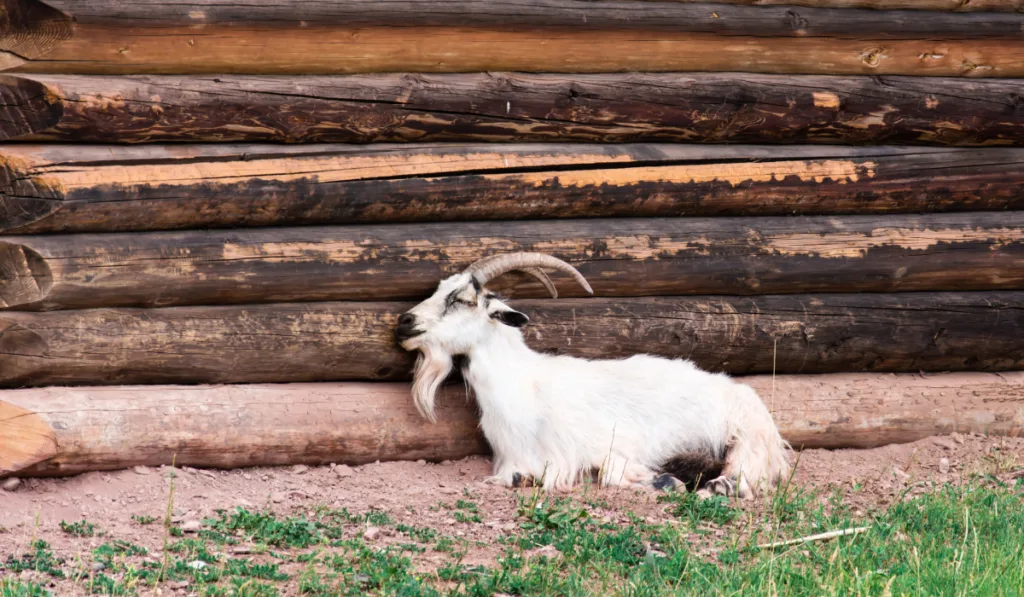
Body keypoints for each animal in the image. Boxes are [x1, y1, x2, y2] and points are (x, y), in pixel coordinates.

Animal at [393, 249, 790, 497]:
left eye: (462, 299)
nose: (404, 322)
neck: (523, 387)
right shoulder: (515, 462)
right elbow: (519, 478)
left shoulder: (609, 444)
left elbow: (611, 473)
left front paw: (662, 479)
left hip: (745, 436)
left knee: (746, 475)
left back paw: (713, 484)